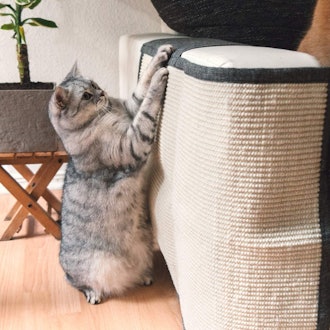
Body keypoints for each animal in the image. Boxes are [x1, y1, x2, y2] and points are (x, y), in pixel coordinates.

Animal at [48, 43, 174, 304]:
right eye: (86, 96)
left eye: (94, 84)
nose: (103, 92)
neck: (108, 113)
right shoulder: (132, 143)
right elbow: (148, 106)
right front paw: (160, 78)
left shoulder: (130, 108)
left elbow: (142, 85)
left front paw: (160, 55)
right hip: (83, 270)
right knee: (74, 281)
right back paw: (93, 293)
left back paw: (144, 277)